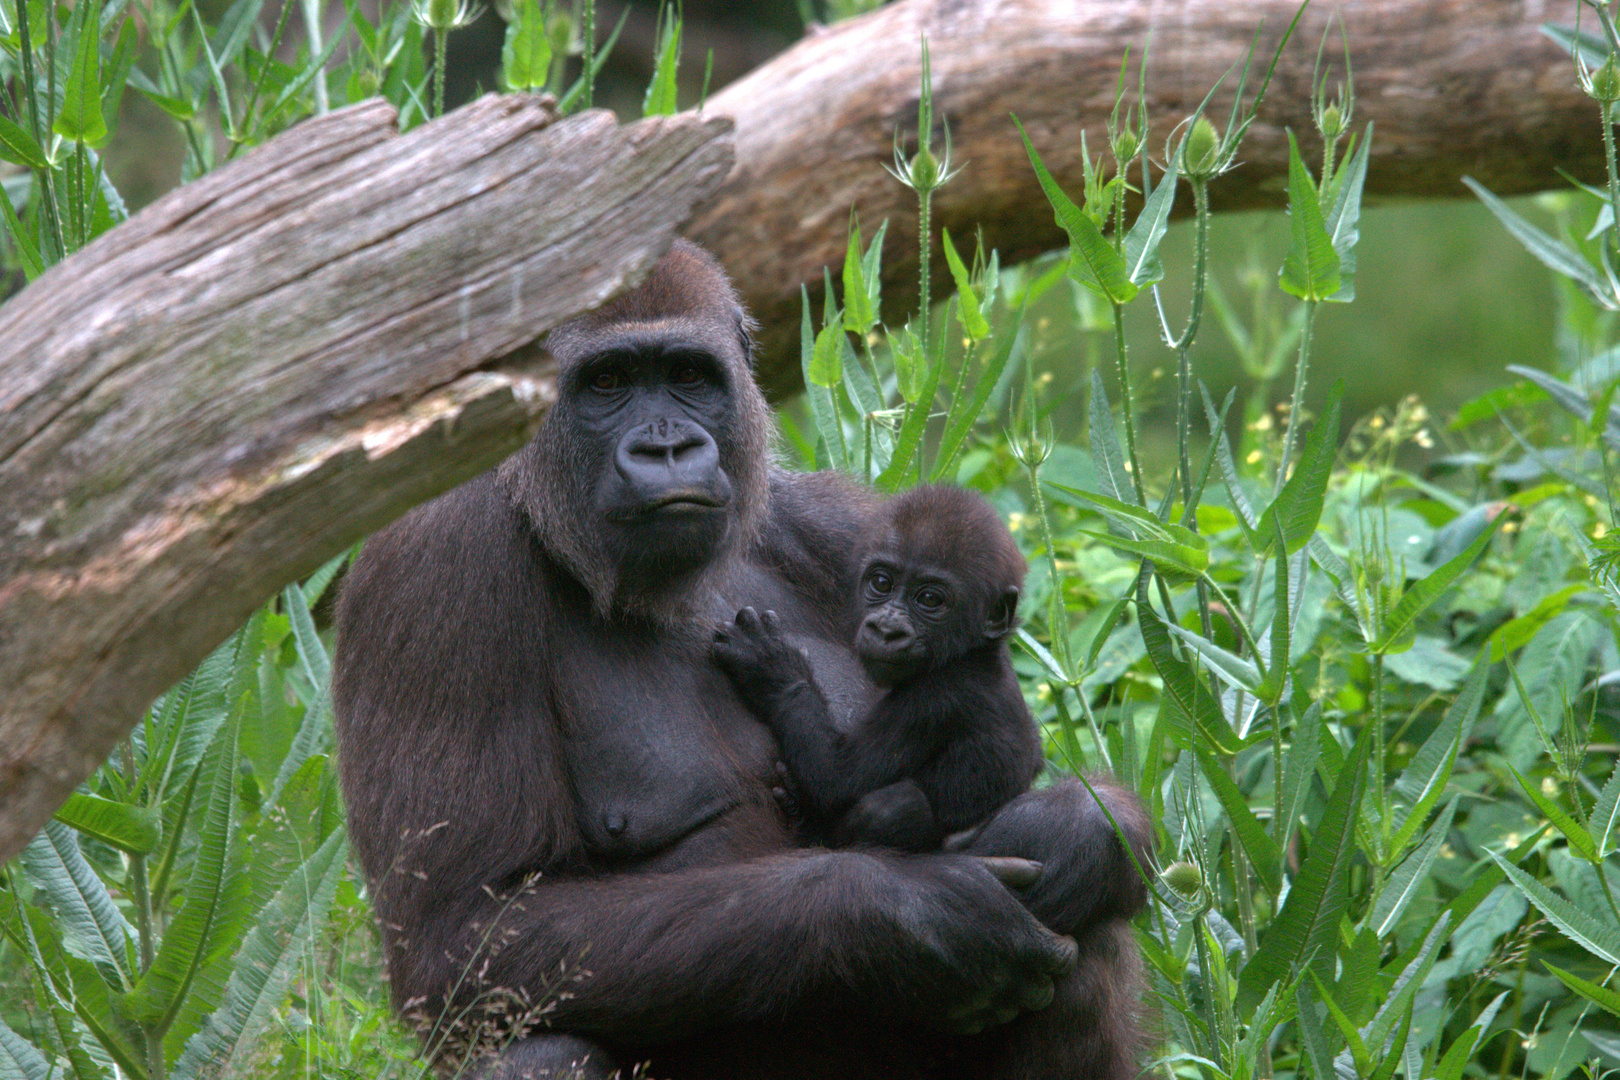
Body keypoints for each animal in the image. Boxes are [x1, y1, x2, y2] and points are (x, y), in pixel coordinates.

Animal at [716, 485, 1043, 848]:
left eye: (930, 599)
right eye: (882, 583)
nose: (887, 630)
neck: (972, 654)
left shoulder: (935, 698)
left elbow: (837, 779)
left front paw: (775, 669)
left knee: (888, 807)